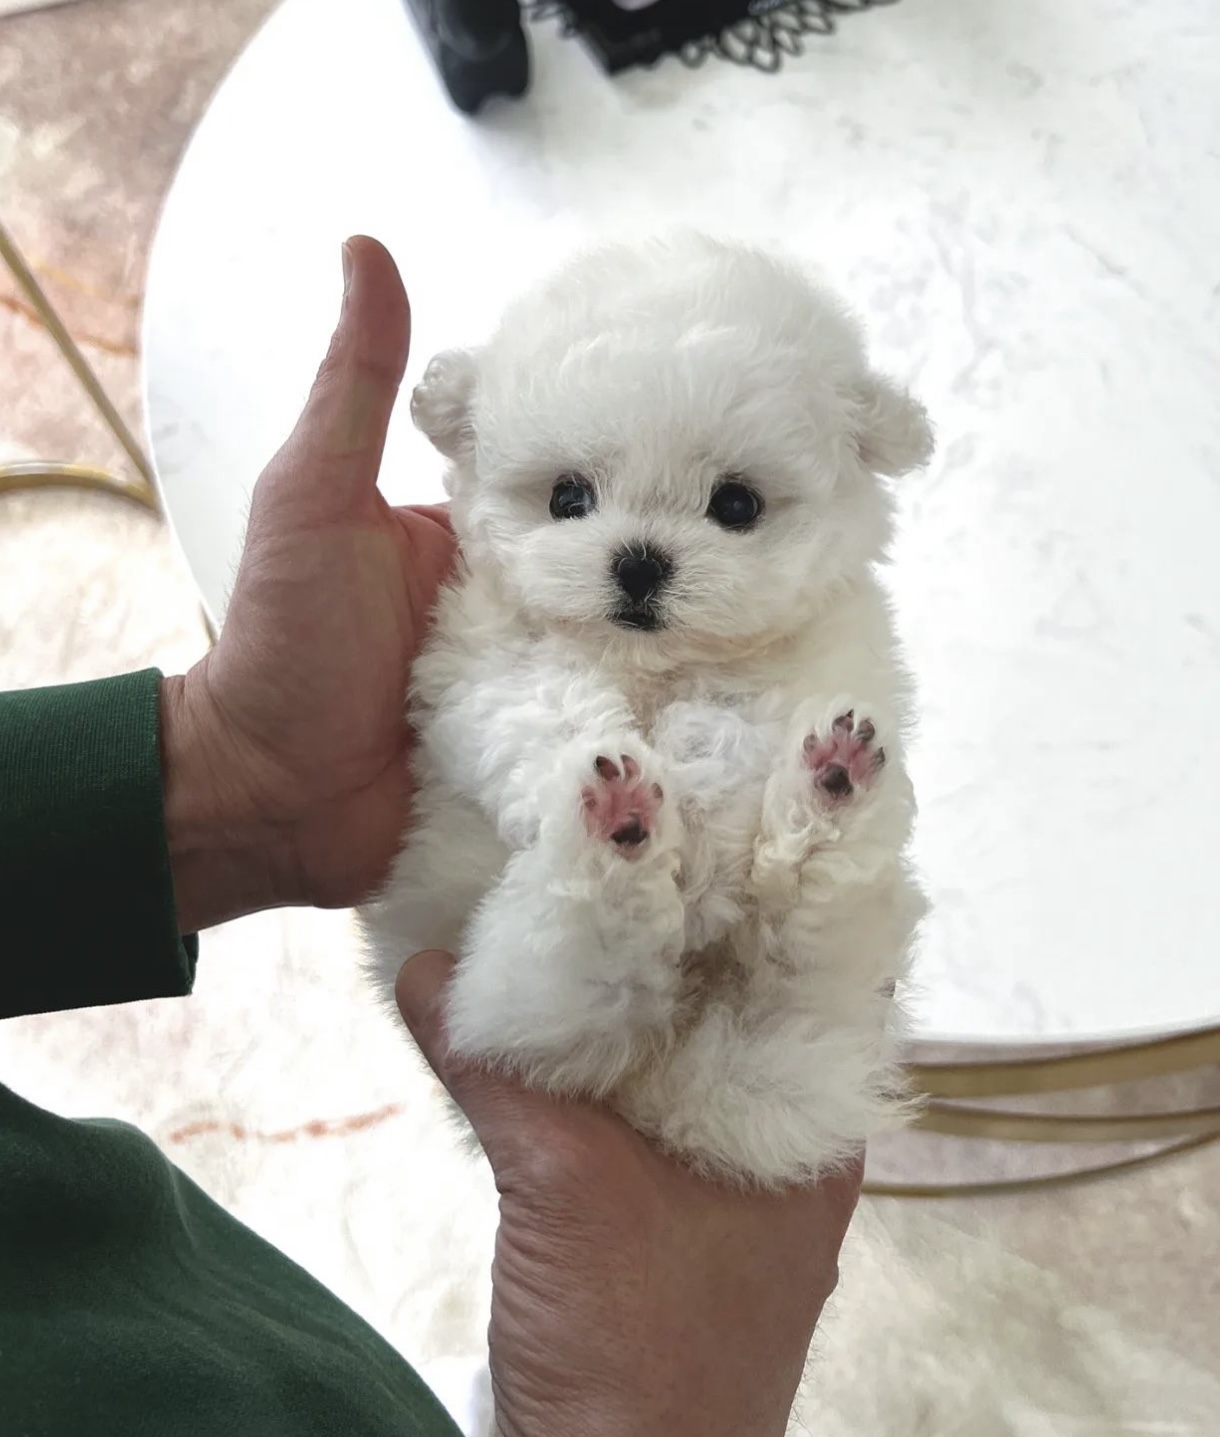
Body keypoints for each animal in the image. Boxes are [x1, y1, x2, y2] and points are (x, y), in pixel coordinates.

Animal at [356, 232, 925, 1178]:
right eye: (567, 496)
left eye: (735, 504)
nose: (639, 562)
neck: (654, 665)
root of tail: (667, 1074)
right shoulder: (483, 658)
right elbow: (545, 708)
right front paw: (611, 764)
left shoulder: (819, 655)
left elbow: (734, 727)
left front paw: (704, 823)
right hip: (505, 973)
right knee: (582, 981)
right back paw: (618, 820)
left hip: (840, 963)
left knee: (798, 939)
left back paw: (828, 787)